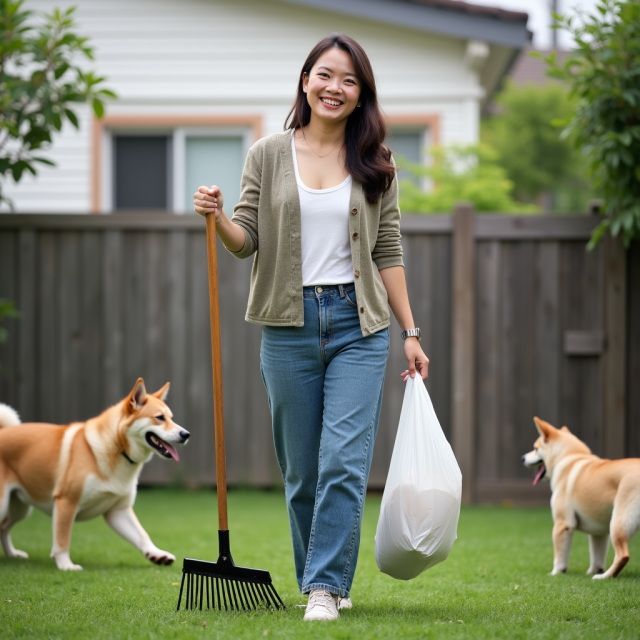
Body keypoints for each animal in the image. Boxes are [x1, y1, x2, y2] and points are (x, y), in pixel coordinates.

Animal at [0, 380, 190, 568]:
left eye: (171, 418)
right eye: (160, 417)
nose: (186, 434)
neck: (117, 449)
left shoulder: (119, 511)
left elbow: (141, 535)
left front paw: (156, 553)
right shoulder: (66, 502)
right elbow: (62, 540)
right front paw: (66, 565)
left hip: (20, 508)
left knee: (4, 528)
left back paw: (12, 554)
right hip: (5, 504)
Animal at [524, 420, 640, 580]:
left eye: (535, 448)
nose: (522, 458)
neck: (571, 457)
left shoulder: (563, 525)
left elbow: (559, 558)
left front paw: (556, 573)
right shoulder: (599, 532)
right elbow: (597, 557)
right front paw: (594, 570)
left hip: (618, 523)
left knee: (623, 555)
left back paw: (604, 577)